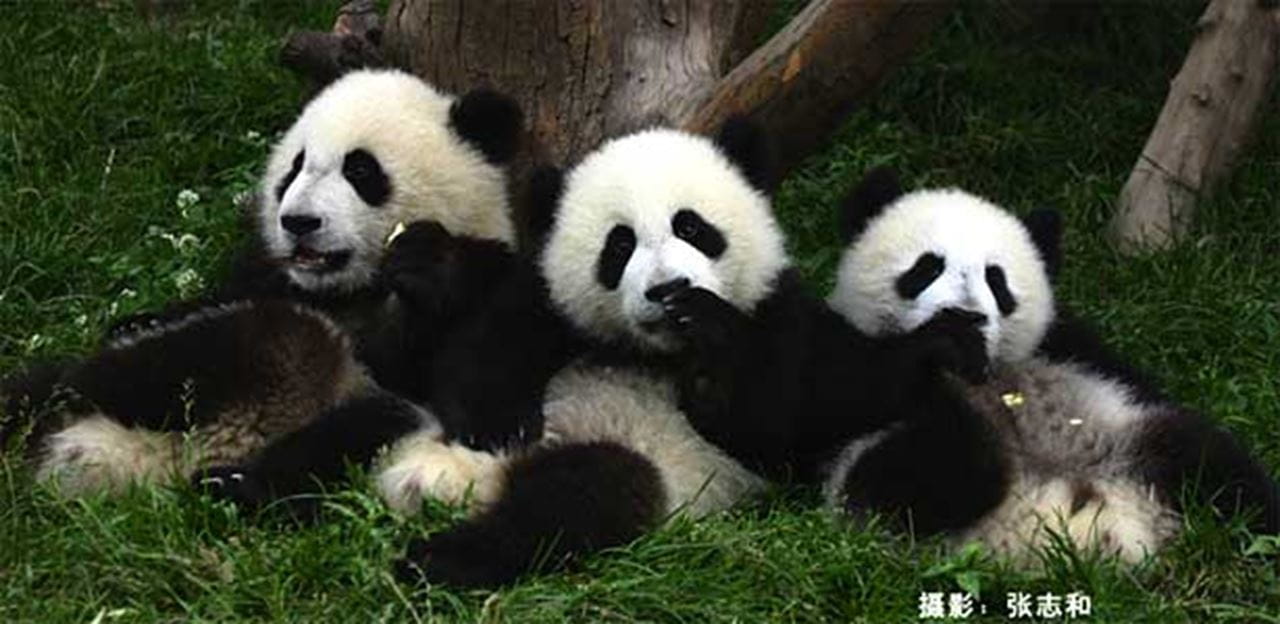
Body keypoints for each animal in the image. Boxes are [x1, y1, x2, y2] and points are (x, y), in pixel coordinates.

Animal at [1, 69, 523, 508]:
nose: (298, 222)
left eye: (360, 170)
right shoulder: (265, 276)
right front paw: (133, 320)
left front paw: (429, 264)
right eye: (295, 168)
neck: (343, 290)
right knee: (77, 378)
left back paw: (231, 486)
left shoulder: (490, 292)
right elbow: (207, 299)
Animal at [378, 122, 983, 588]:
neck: (659, 354)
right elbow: (481, 347)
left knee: (581, 496)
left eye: (692, 227)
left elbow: (778, 418)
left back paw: (443, 557)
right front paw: (497, 421)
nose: (668, 290)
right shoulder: (549, 303)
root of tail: (457, 483)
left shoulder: (778, 317)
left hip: (647, 469)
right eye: (619, 245)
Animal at [822, 167, 1280, 564]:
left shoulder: (1071, 349)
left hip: (1132, 436)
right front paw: (940, 351)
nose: (968, 314)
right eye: (927, 267)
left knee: (1214, 464)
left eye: (996, 280)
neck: (983, 372)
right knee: (930, 472)